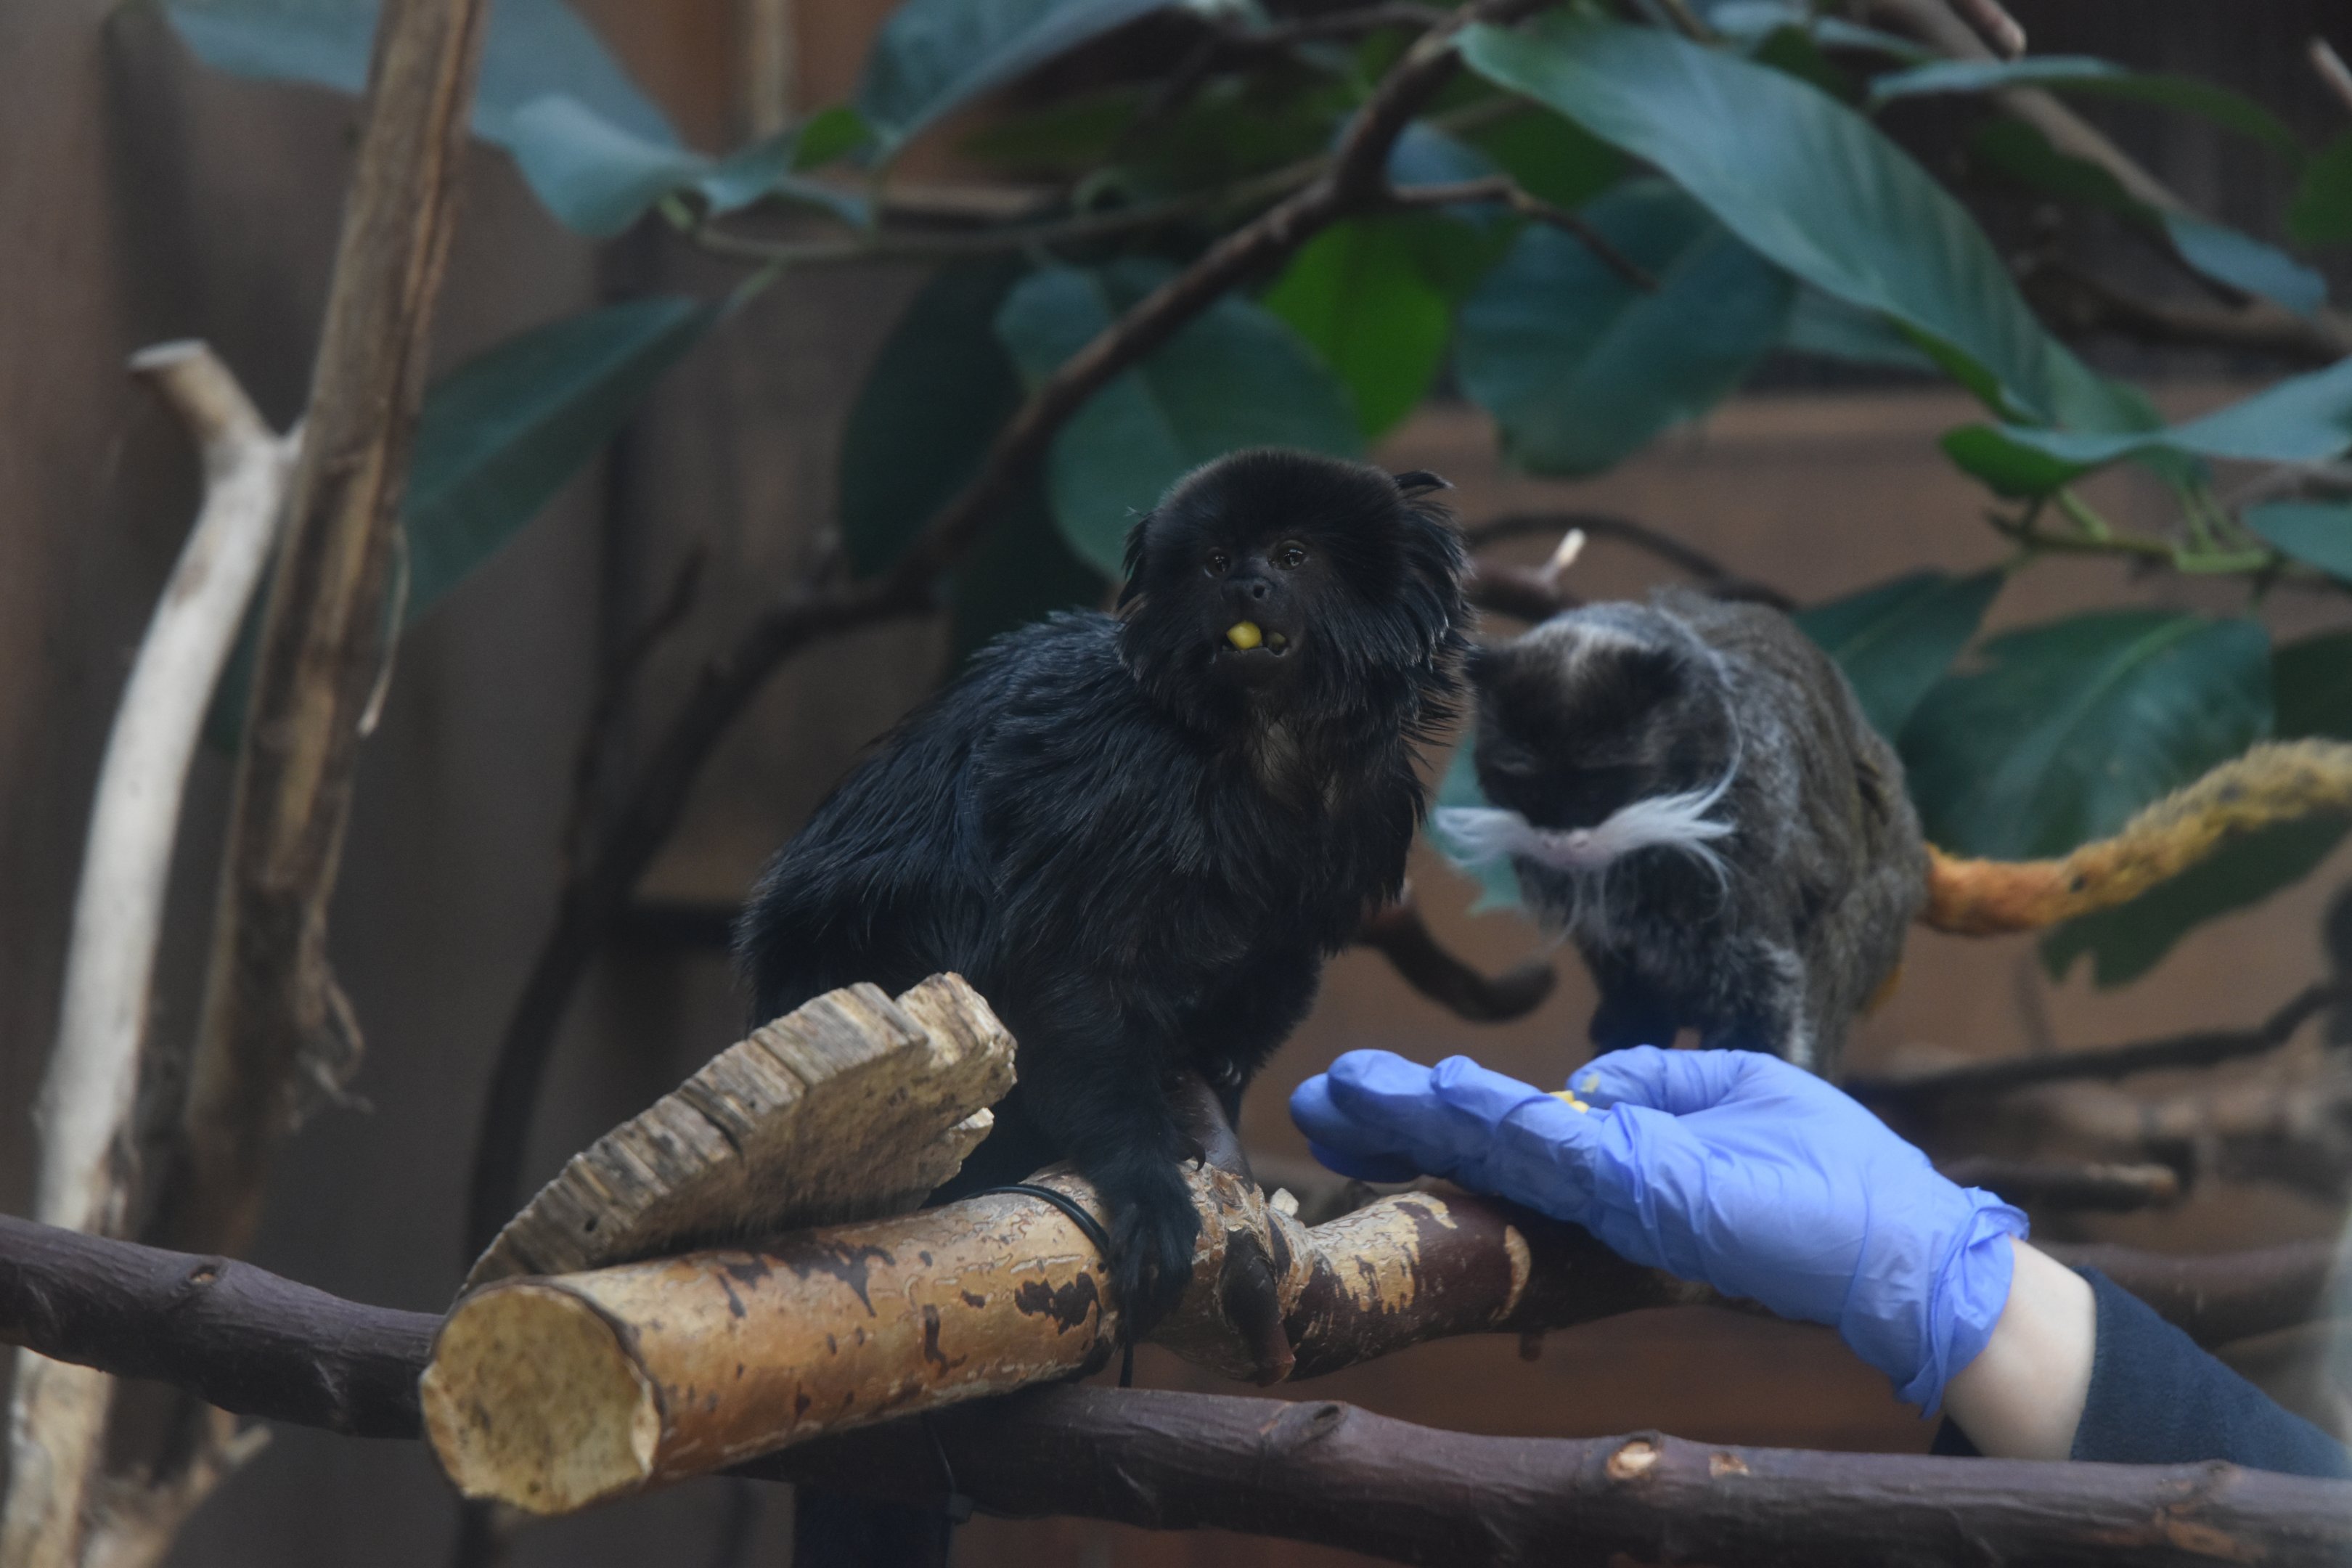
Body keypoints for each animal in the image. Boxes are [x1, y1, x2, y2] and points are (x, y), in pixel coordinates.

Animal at [736, 448, 1468, 1336]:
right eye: (1217, 562)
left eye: (1292, 556)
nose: (1247, 588)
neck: (1261, 745)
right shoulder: (1111, 773)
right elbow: (1065, 977)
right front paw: (1144, 1177)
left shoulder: (1365, 817)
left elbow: (1265, 973)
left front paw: (1214, 1118)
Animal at [1441, 588, 2352, 1078]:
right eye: (1526, 782)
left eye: (1600, 783)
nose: (1563, 838)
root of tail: (1913, 843)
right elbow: (1619, 956)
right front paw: (1627, 1034)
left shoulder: (1740, 841)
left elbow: (1767, 981)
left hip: (1874, 909)